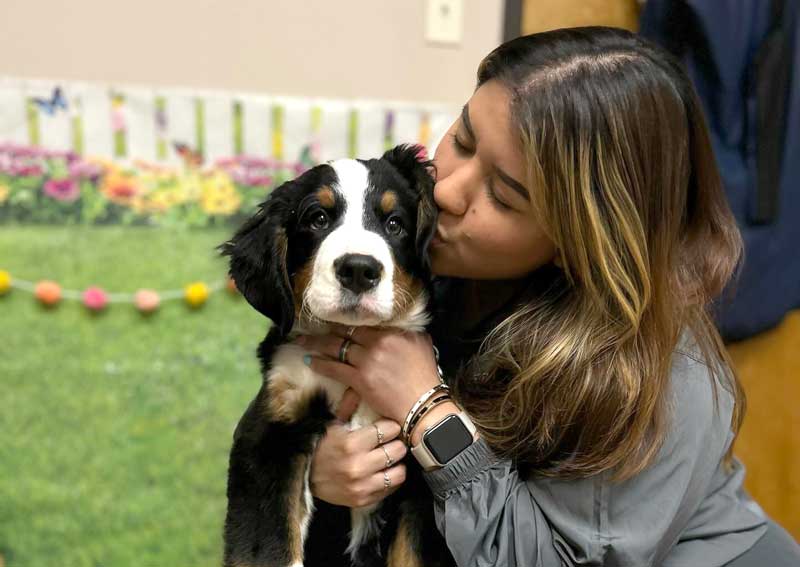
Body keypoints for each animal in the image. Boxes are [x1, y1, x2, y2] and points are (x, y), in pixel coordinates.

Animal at [219, 145, 456, 567]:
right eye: (318, 219)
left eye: (394, 223)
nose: (359, 269)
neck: (353, 341)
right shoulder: (270, 430)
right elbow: (269, 547)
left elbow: (412, 553)